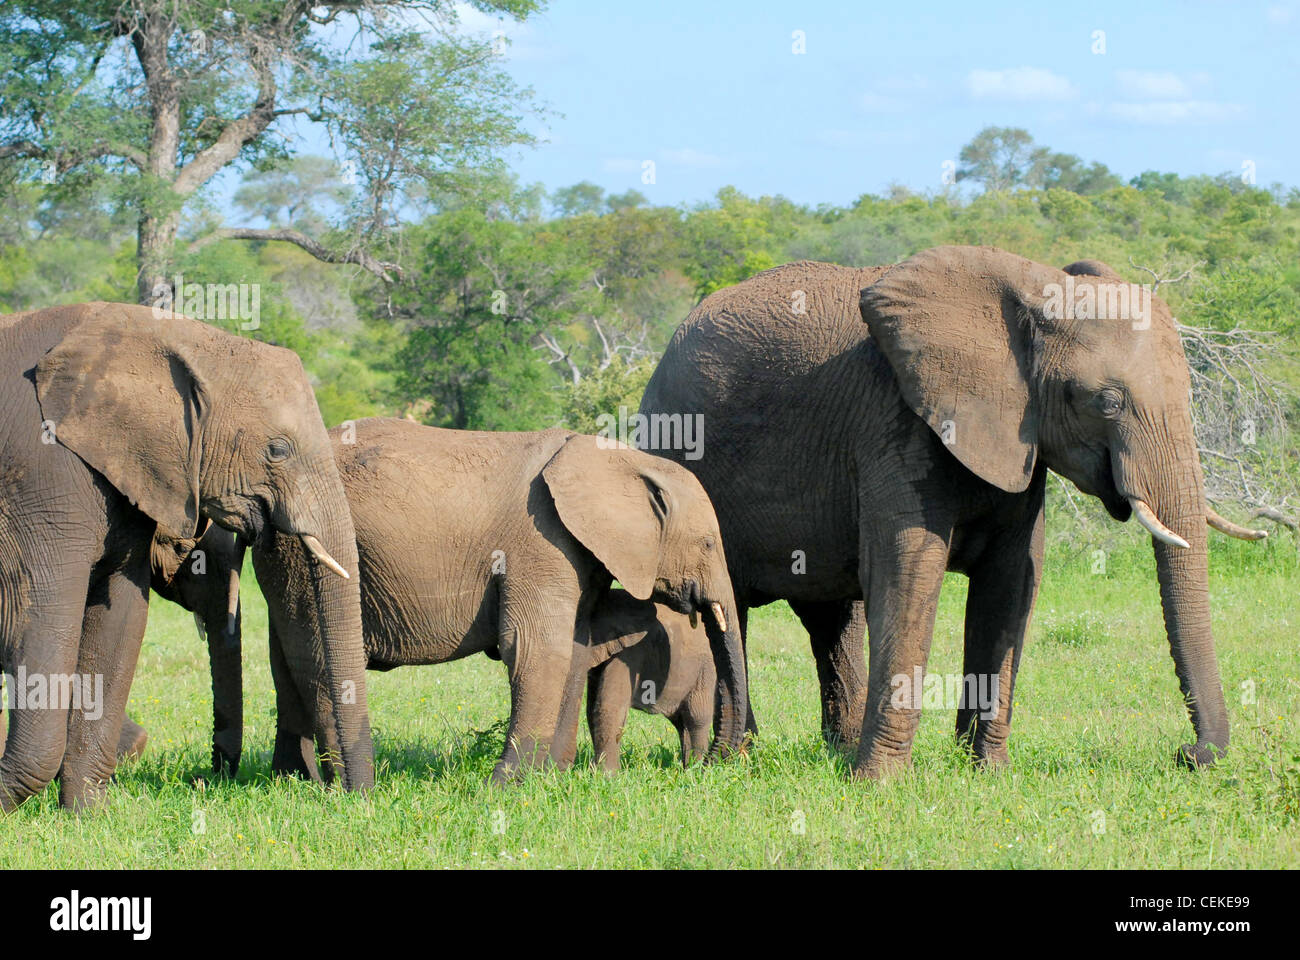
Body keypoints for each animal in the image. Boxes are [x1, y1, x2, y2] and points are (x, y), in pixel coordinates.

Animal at [0, 301, 372, 811]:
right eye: (277, 450)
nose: (358, 797)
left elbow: (122, 618)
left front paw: (86, 815)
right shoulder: (44, 474)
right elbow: (45, 620)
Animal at [583, 590, 716, 772]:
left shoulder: (631, 652)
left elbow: (610, 705)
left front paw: (605, 775)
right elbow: (591, 708)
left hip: (704, 670)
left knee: (697, 716)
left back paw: (695, 770)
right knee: (681, 722)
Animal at [638, 245, 1266, 779]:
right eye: (1105, 402)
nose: (1187, 754)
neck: (1033, 287)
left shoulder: (1018, 437)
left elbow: (1012, 584)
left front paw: (987, 774)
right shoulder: (893, 421)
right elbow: (907, 576)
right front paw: (880, 785)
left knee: (830, 619)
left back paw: (830, 752)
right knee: (731, 612)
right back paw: (733, 762)